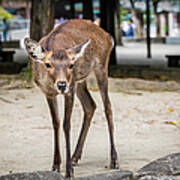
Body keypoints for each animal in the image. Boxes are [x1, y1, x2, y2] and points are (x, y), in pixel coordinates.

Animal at [24, 19, 119, 178]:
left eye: (71, 65)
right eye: (48, 64)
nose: (62, 84)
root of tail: (108, 36)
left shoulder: (70, 90)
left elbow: (66, 125)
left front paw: (69, 172)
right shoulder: (48, 93)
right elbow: (56, 123)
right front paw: (56, 165)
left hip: (100, 68)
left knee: (108, 107)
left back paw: (114, 160)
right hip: (79, 81)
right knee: (90, 105)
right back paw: (75, 157)